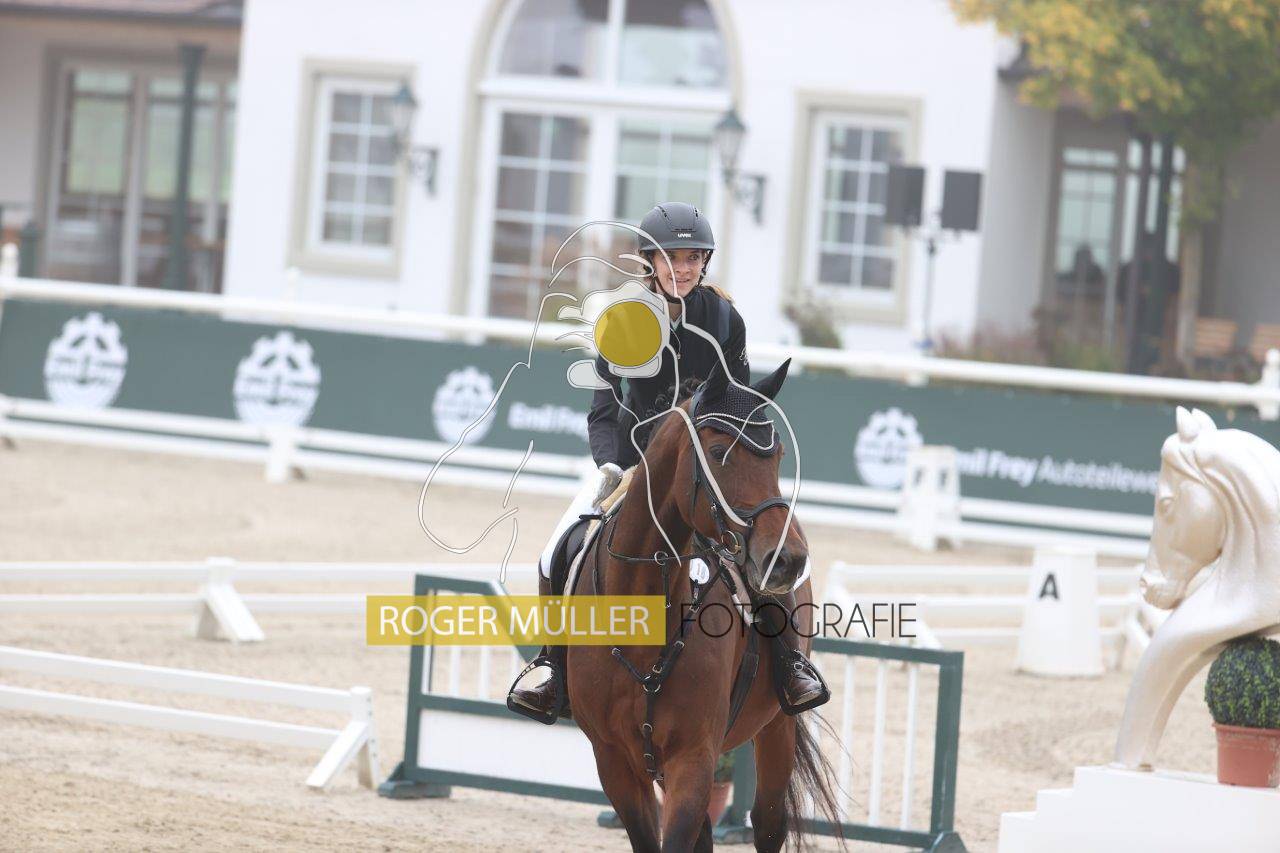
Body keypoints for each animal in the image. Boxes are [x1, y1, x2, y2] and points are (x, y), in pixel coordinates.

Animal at [567, 359, 842, 852]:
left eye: (777, 456)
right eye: (717, 452)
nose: (787, 559)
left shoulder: (693, 758)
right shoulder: (615, 762)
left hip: (777, 726)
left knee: (767, 822)